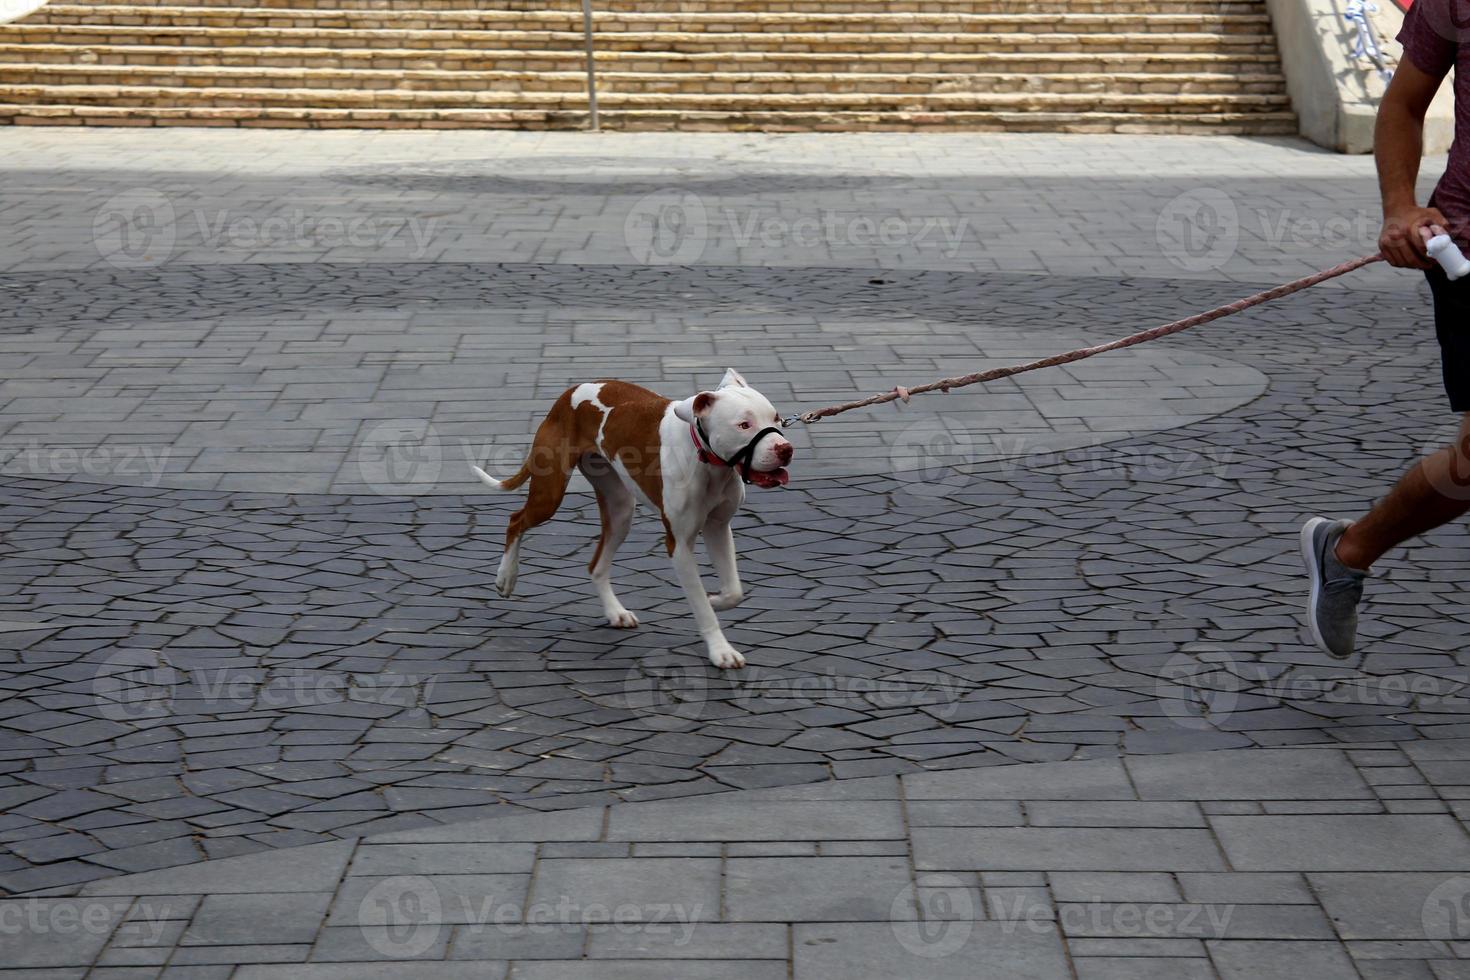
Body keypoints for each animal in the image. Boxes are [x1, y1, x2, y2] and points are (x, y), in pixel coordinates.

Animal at [470, 371, 793, 669]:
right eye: (744, 425)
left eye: (776, 418)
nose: (785, 449)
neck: (709, 461)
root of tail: (569, 392)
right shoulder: (679, 545)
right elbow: (701, 606)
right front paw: (720, 649)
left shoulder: (718, 528)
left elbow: (734, 591)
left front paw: (717, 599)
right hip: (549, 495)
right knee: (516, 520)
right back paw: (506, 578)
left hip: (620, 508)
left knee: (596, 565)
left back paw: (615, 612)